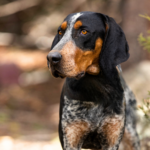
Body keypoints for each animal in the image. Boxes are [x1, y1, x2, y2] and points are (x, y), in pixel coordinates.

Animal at [46, 11, 139, 150]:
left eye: (84, 32)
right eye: (60, 32)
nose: (51, 58)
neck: (96, 86)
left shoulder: (112, 139)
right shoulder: (71, 139)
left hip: (131, 137)